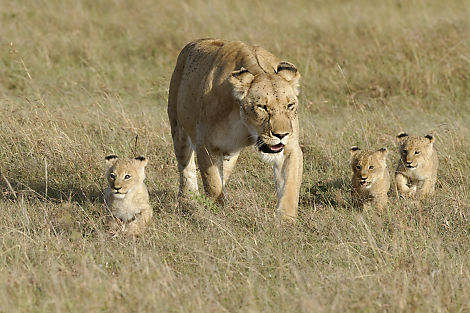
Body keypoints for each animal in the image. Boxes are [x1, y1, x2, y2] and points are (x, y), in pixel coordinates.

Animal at [167, 39, 302, 218]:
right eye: (262, 107)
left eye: (290, 105)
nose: (281, 134)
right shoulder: (206, 145)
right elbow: (213, 183)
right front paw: (218, 212)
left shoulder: (290, 148)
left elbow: (289, 186)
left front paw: (285, 219)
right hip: (179, 129)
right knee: (185, 167)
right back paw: (188, 199)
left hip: (230, 154)